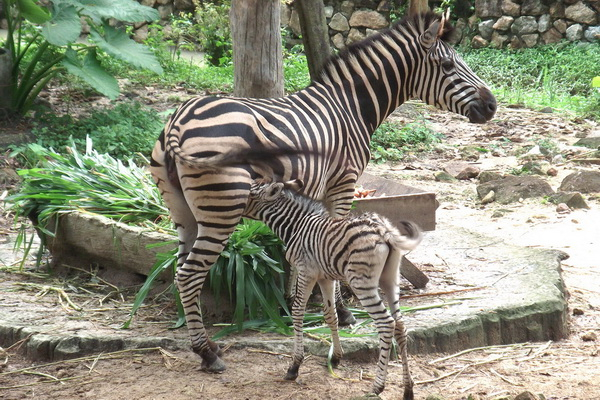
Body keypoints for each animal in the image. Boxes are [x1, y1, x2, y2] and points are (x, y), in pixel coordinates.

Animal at [149, 11, 496, 373]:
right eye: (447, 65)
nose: (492, 106)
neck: (352, 107)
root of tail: (177, 119)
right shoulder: (343, 183)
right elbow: (334, 241)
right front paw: (343, 313)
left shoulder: (313, 192)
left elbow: (307, 245)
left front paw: (293, 302)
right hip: (222, 208)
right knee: (190, 274)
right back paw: (206, 352)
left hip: (183, 212)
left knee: (180, 270)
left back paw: (200, 336)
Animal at [244, 179, 422, 398]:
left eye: (249, 195)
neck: (296, 225)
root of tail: (384, 231)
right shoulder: (326, 278)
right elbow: (330, 315)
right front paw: (336, 357)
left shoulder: (307, 272)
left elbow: (298, 311)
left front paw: (294, 366)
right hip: (390, 279)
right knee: (400, 324)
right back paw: (408, 389)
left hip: (362, 283)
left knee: (386, 323)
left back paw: (377, 387)